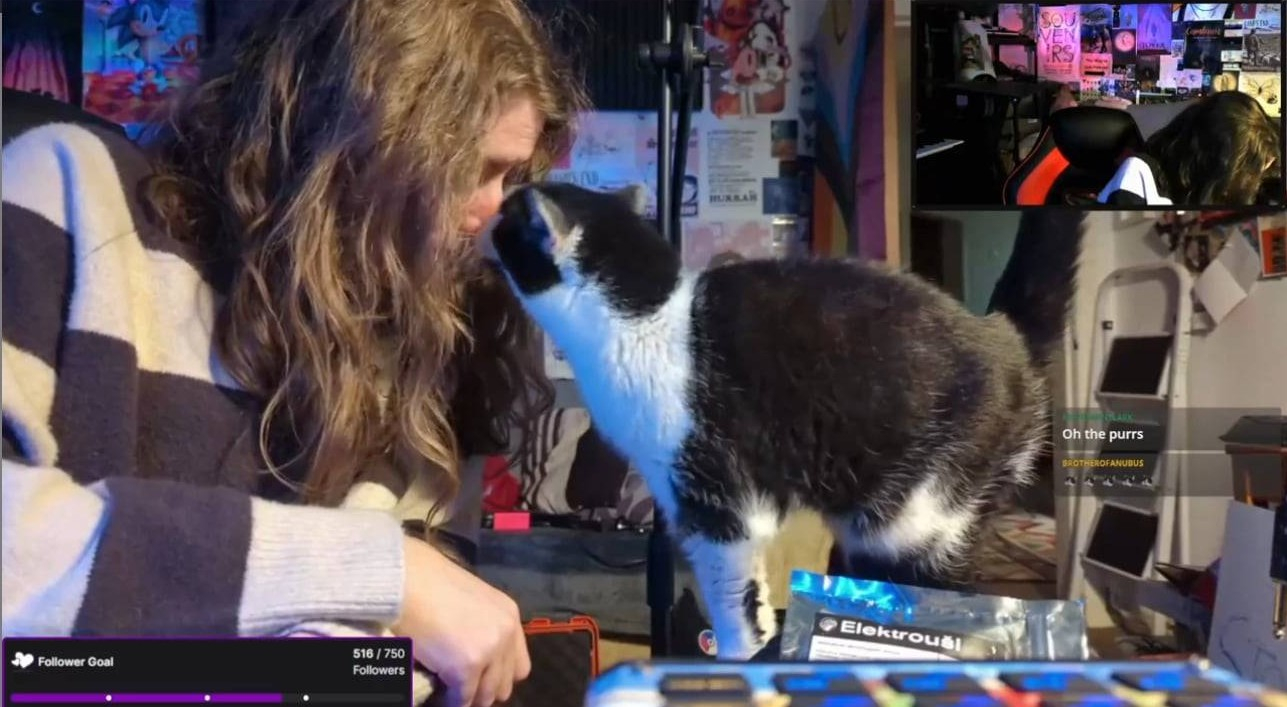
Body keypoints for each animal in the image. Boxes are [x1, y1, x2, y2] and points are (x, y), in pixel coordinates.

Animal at [479, 182, 1086, 660]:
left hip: (919, 519)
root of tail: (1003, 331)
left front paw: (738, 652)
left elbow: (732, 596)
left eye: (508, 215)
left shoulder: (715, 499)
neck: (645, 315)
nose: (486, 215)